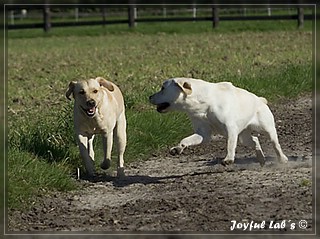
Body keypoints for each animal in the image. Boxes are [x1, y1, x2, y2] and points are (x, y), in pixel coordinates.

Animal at [149, 77, 288, 165]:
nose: (149, 97)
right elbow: (186, 140)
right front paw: (178, 148)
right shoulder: (203, 134)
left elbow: (230, 145)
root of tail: (261, 99)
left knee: (275, 144)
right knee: (255, 140)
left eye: (162, 88)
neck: (204, 104)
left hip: (267, 128)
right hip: (243, 137)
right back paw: (261, 159)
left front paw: (229, 159)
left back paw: (282, 159)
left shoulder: (231, 129)